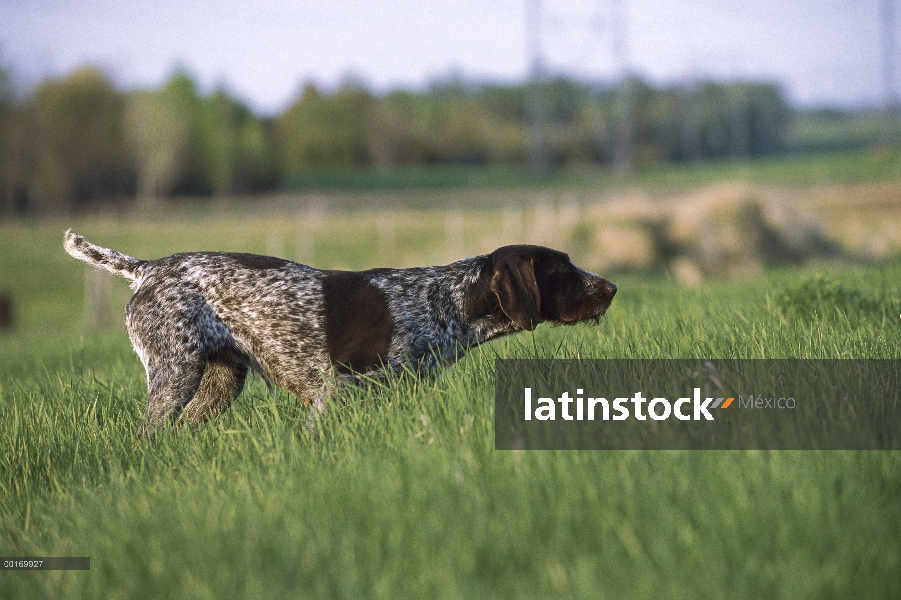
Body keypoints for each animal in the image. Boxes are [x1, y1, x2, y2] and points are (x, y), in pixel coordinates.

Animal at [63, 229, 616, 432]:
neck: (447, 302)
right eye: (563, 269)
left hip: (219, 382)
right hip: (175, 372)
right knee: (150, 434)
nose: (611, 287)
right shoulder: (338, 389)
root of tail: (147, 269)